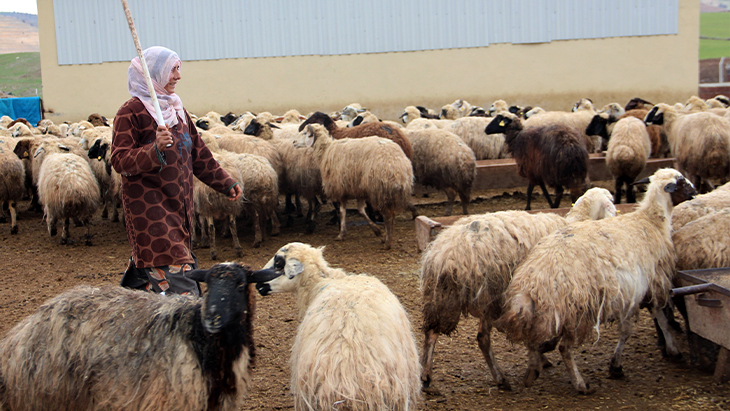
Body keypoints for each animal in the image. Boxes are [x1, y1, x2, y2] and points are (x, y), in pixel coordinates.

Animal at [418, 188, 616, 392]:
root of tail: (444, 254)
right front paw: (544, 352)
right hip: (489, 295)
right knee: (483, 338)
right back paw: (501, 377)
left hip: (443, 297)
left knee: (433, 332)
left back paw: (427, 377)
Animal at [494, 168, 692, 396]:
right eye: (682, 182)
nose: (695, 192)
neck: (650, 221)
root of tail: (532, 282)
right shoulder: (646, 287)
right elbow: (640, 326)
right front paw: (618, 365)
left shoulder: (640, 290)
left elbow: (658, 320)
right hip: (577, 310)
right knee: (564, 348)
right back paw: (580, 384)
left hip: (552, 312)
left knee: (535, 338)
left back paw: (532, 371)